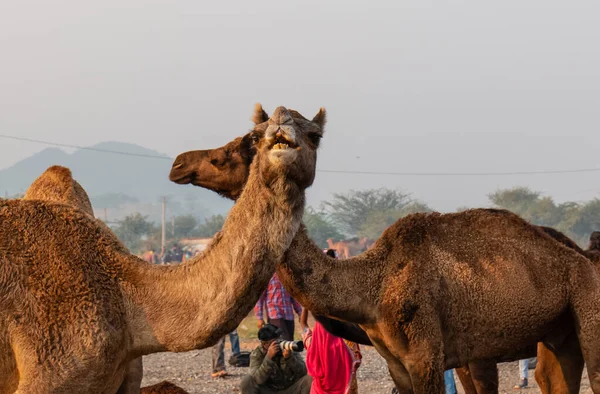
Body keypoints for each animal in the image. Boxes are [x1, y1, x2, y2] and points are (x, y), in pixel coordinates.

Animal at [169, 110, 600, 394]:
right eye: (254, 138)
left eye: (242, 146)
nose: (179, 163)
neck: (372, 286)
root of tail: (583, 258)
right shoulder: (400, 366)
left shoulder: (429, 357)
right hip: (559, 333)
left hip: (588, 305)